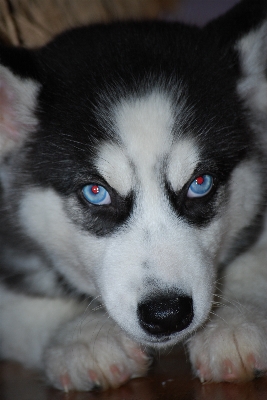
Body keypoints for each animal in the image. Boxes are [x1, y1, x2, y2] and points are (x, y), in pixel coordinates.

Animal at [0, 0, 267, 390]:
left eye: (200, 183)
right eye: (96, 192)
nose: (167, 313)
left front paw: (238, 318)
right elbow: (23, 307)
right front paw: (85, 336)